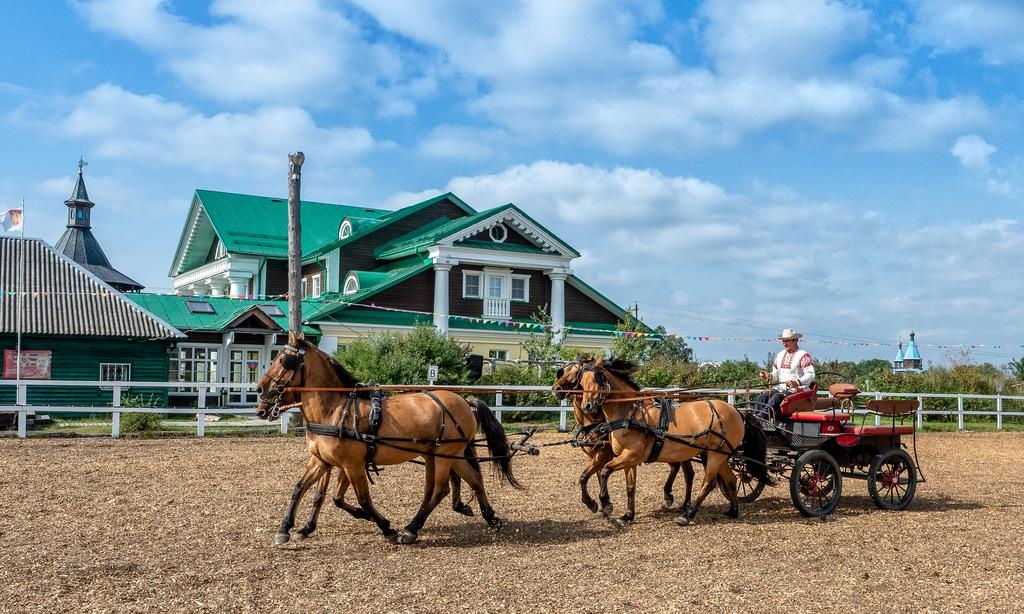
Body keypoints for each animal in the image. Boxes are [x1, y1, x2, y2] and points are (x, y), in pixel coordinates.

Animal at [256, 337, 520, 544]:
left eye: (284, 360)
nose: (259, 389)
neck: (335, 409)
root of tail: (465, 401)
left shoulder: (352, 465)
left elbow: (362, 499)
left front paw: (386, 527)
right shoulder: (322, 460)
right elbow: (302, 489)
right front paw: (287, 529)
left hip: (445, 454)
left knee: (440, 489)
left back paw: (411, 530)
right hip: (444, 454)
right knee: (471, 479)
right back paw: (490, 517)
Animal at [552, 354, 696, 521]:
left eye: (576, 372)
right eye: (564, 371)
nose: (556, 389)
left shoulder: (605, 453)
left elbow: (588, 476)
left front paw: (601, 504)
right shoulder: (593, 455)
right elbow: (589, 476)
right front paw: (602, 505)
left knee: (688, 474)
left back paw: (684, 505)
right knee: (676, 467)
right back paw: (669, 496)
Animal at [577, 358, 745, 523]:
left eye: (597, 379)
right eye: (582, 383)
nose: (587, 406)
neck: (632, 414)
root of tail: (735, 410)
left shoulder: (631, 455)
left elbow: (605, 471)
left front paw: (604, 502)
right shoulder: (628, 459)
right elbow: (630, 487)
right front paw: (627, 515)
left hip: (716, 455)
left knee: (708, 483)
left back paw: (687, 514)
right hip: (717, 454)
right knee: (730, 480)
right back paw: (733, 511)